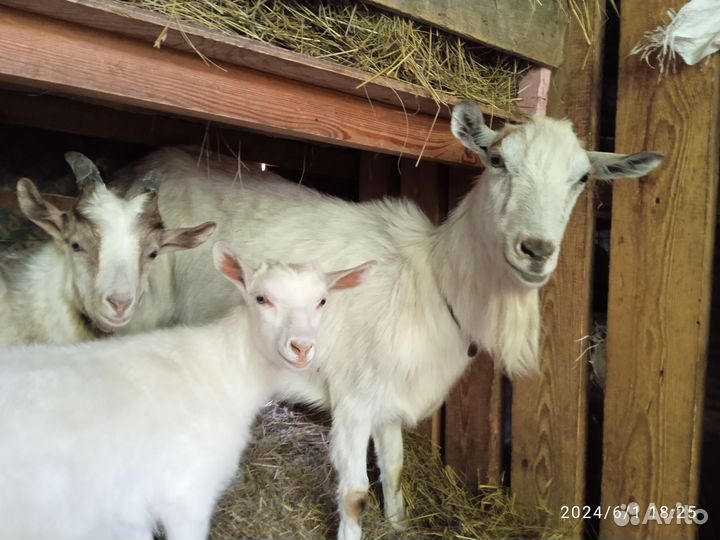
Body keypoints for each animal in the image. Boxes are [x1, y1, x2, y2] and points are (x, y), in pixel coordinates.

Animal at [0, 242, 373, 540]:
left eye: (322, 301)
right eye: (261, 298)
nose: (301, 347)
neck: (222, 369)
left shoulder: (127, 513)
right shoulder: (186, 492)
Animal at [122, 102, 663, 540]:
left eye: (582, 179)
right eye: (497, 161)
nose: (536, 250)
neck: (431, 281)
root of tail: (145, 165)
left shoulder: (391, 392)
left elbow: (396, 466)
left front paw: (401, 523)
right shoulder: (353, 398)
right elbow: (355, 493)